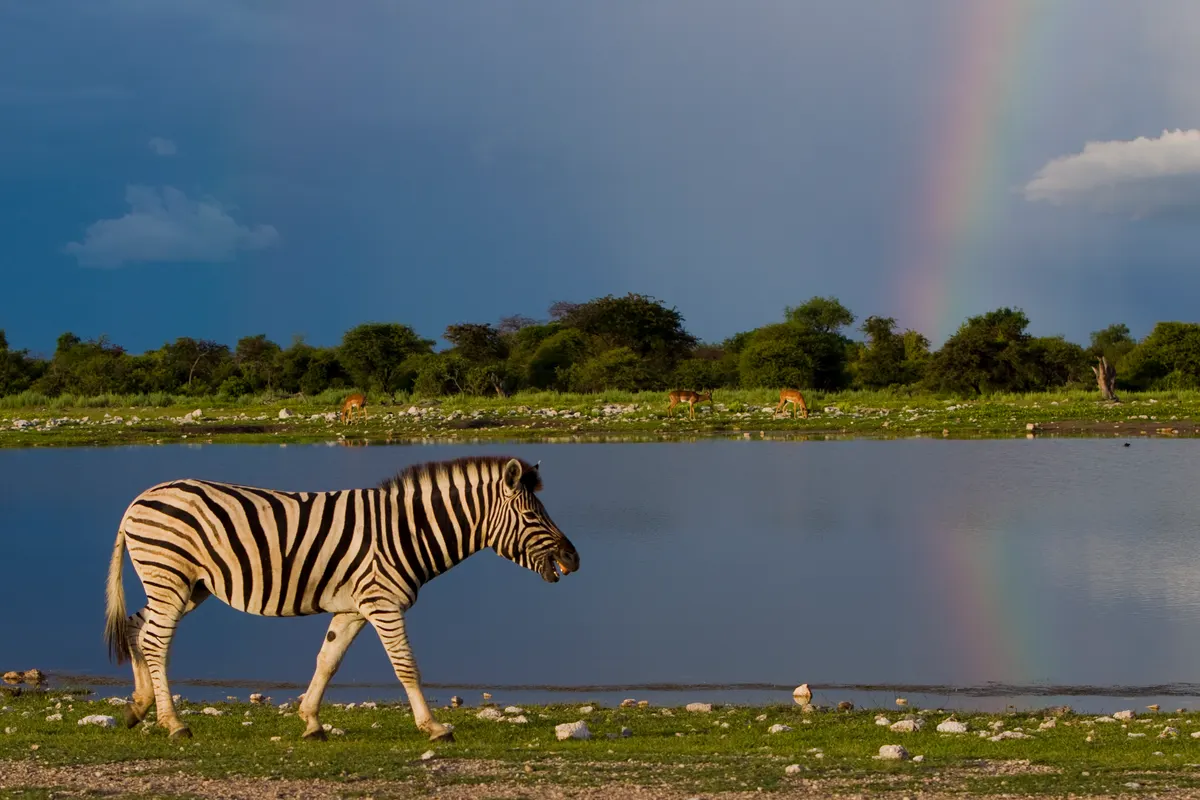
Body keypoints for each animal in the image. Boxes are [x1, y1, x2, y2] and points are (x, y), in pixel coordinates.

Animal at [104, 455, 579, 742]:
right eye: (532, 515)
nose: (574, 559)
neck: (408, 532)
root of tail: (137, 500)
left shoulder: (353, 608)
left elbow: (327, 661)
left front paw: (311, 721)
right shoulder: (382, 602)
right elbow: (406, 666)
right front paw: (433, 727)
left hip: (187, 585)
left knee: (136, 626)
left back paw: (138, 708)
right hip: (170, 576)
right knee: (155, 641)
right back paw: (172, 723)